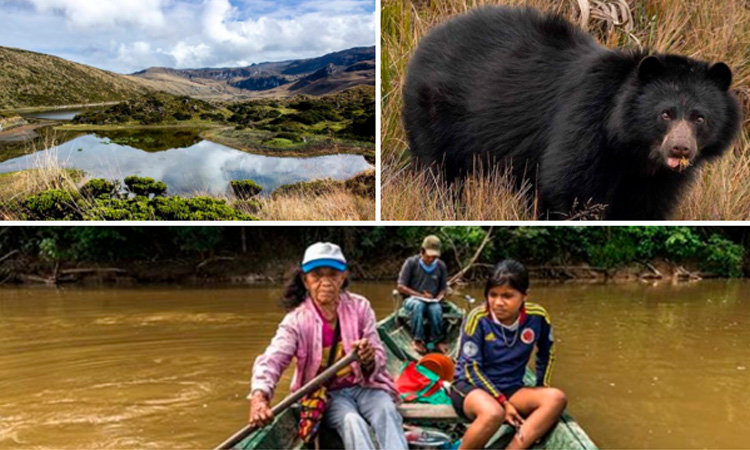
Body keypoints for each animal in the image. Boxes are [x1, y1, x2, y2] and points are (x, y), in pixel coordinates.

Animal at [402, 5, 744, 220]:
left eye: (699, 117)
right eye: (665, 114)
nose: (680, 148)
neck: (631, 147)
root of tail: (428, 40)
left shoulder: (653, 178)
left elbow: (644, 207)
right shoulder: (585, 125)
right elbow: (571, 188)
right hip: (434, 113)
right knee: (440, 173)